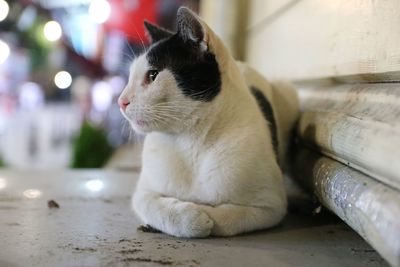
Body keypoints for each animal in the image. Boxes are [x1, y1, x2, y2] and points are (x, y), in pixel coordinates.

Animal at [117, 6, 298, 239]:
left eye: (153, 74)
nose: (121, 101)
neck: (190, 140)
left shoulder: (271, 206)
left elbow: (228, 218)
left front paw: (205, 213)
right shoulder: (143, 192)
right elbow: (156, 207)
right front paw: (191, 217)